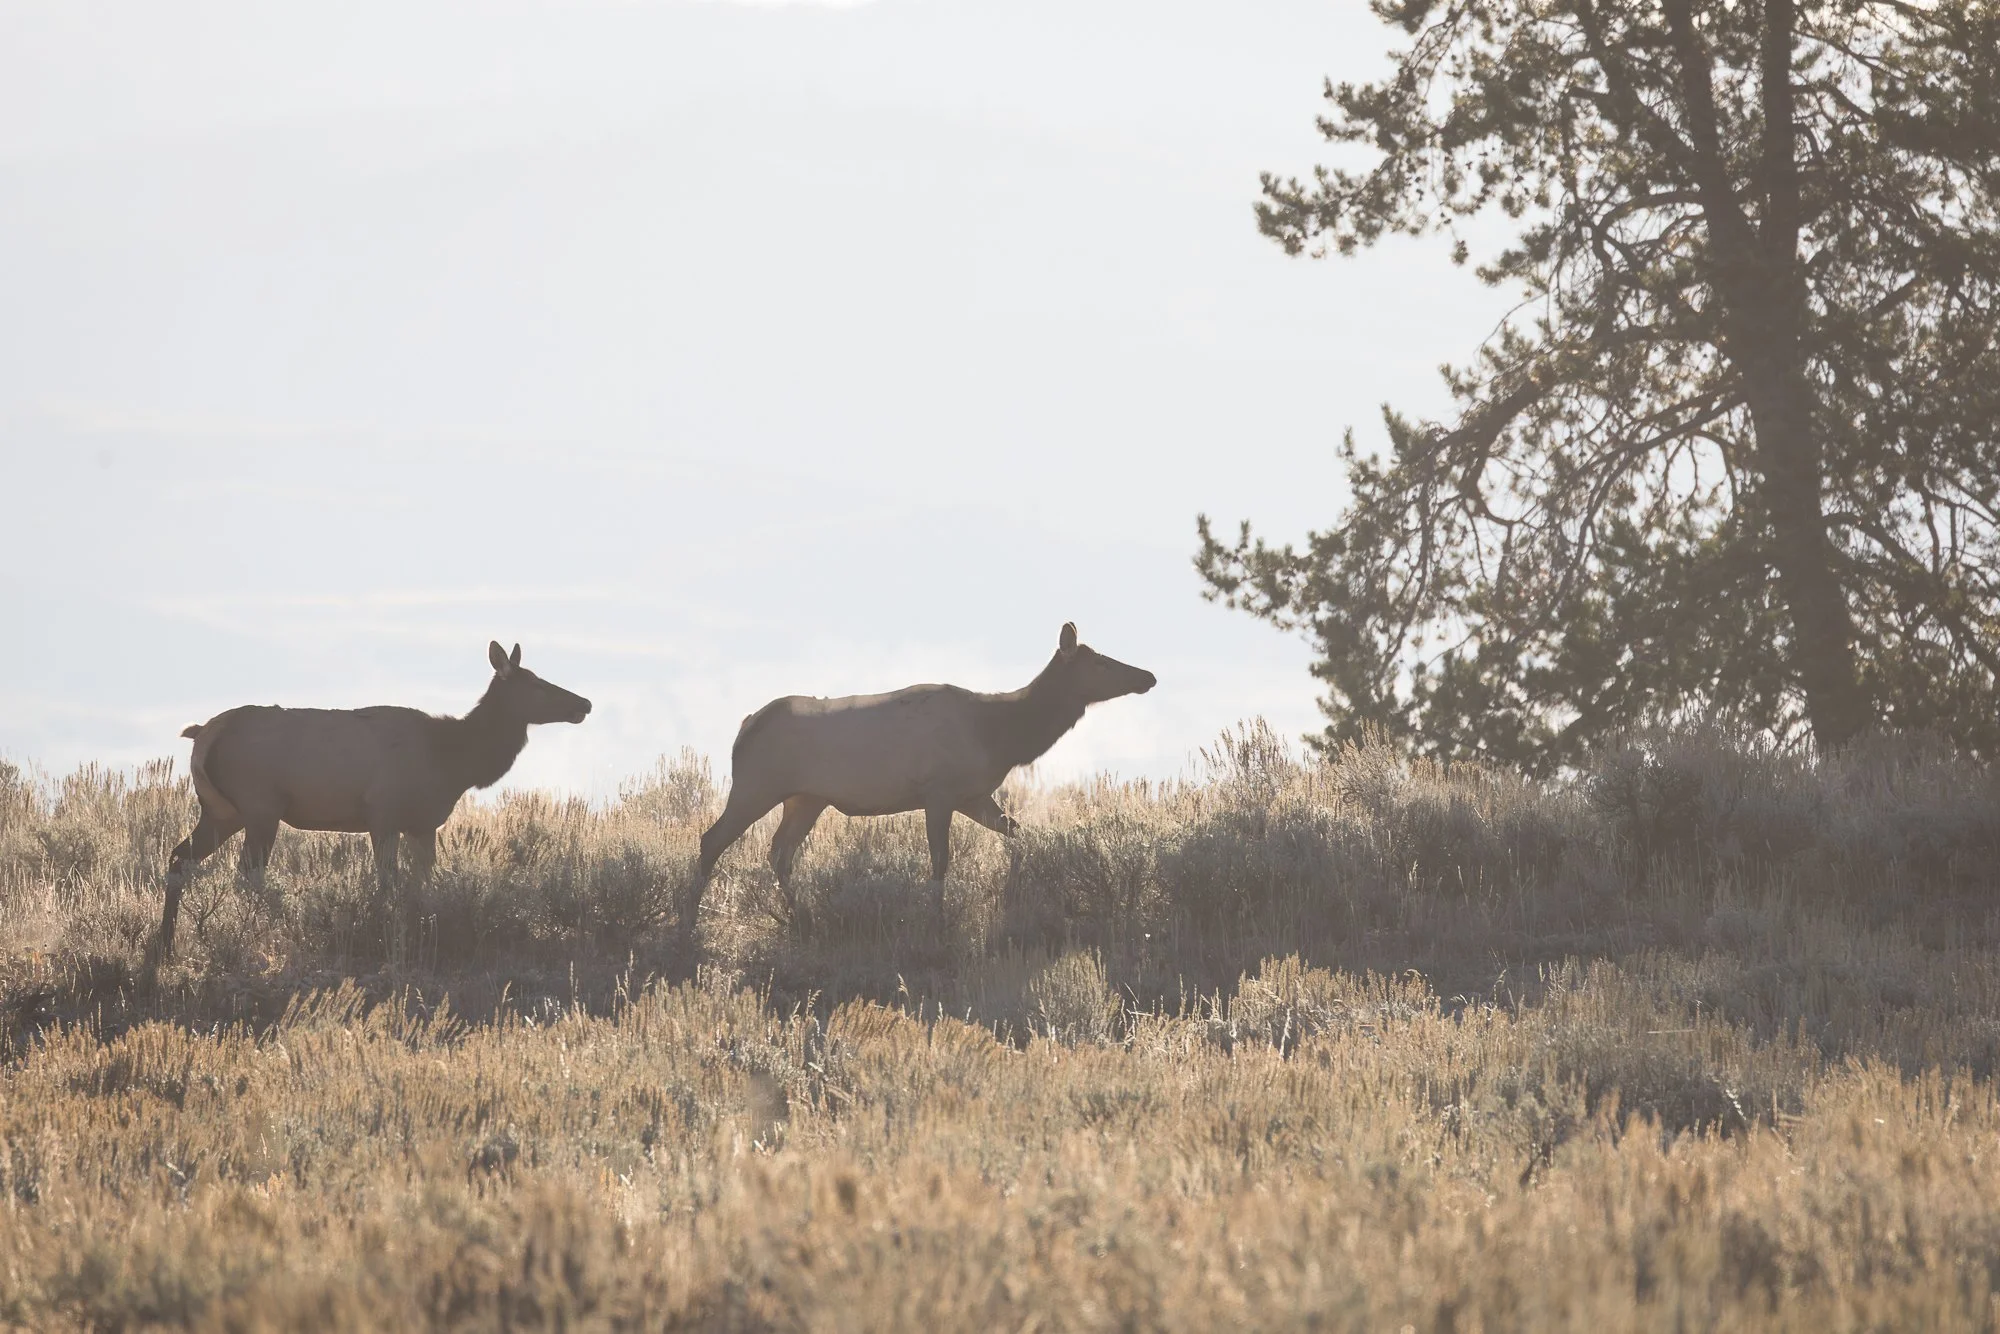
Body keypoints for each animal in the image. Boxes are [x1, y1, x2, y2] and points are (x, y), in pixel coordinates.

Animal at [156, 641, 591, 958]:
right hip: (261, 805)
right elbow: (388, 881)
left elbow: (422, 883)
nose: (584, 703)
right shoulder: (384, 812)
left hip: (221, 812)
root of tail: (202, 733)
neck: (453, 761)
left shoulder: (422, 824)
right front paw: (385, 933)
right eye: (536, 683)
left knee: (179, 857)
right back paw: (279, 928)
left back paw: (165, 944)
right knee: (249, 874)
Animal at [690, 622, 1155, 928]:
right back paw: (689, 920)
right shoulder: (940, 790)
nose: (1148, 675)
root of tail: (744, 728)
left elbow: (1018, 834)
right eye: (1101, 663)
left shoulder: (973, 795)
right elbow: (940, 860)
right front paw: (937, 918)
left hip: (806, 797)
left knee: (779, 852)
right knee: (712, 839)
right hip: (756, 784)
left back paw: (800, 915)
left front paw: (1016, 891)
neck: (1001, 737)